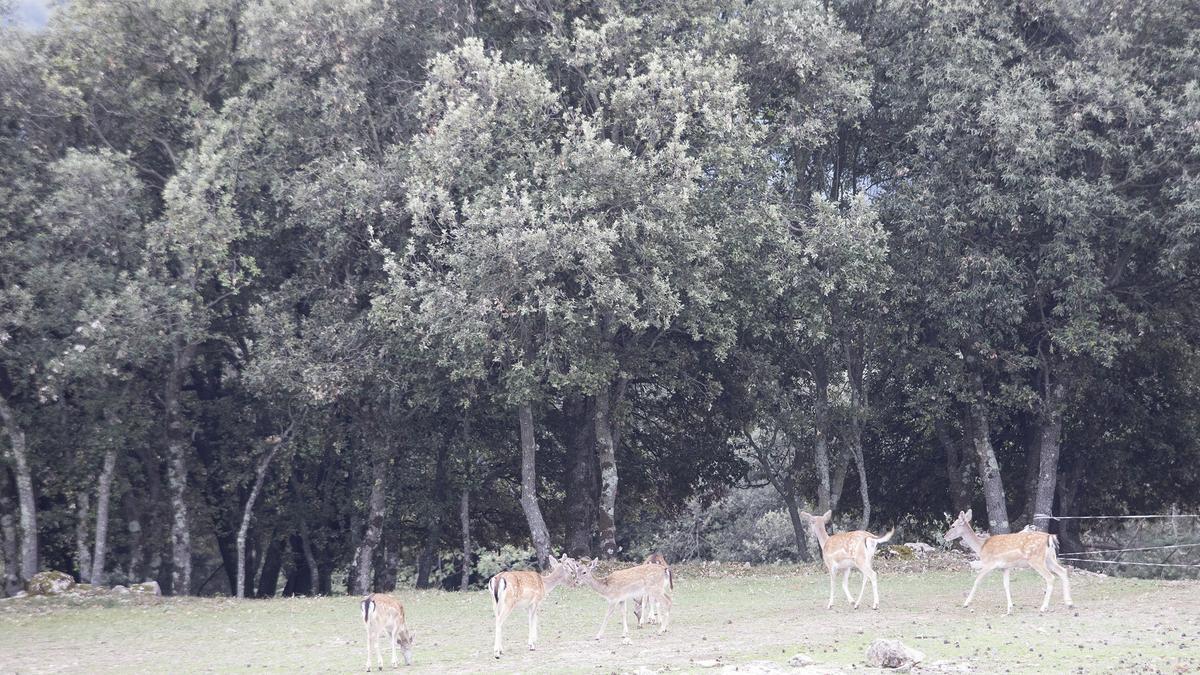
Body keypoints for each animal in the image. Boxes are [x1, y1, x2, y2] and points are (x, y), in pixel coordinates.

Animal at [945, 506, 1080, 612]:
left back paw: (1044, 607)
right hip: (1050, 559)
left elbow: (977, 580)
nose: (945, 536)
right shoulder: (1005, 567)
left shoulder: (989, 563)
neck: (982, 547)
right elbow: (1006, 585)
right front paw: (1010, 608)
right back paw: (1070, 603)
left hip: (1036, 560)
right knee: (1063, 571)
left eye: (953, 525)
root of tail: (1051, 537)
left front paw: (966, 603)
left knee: (1050, 577)